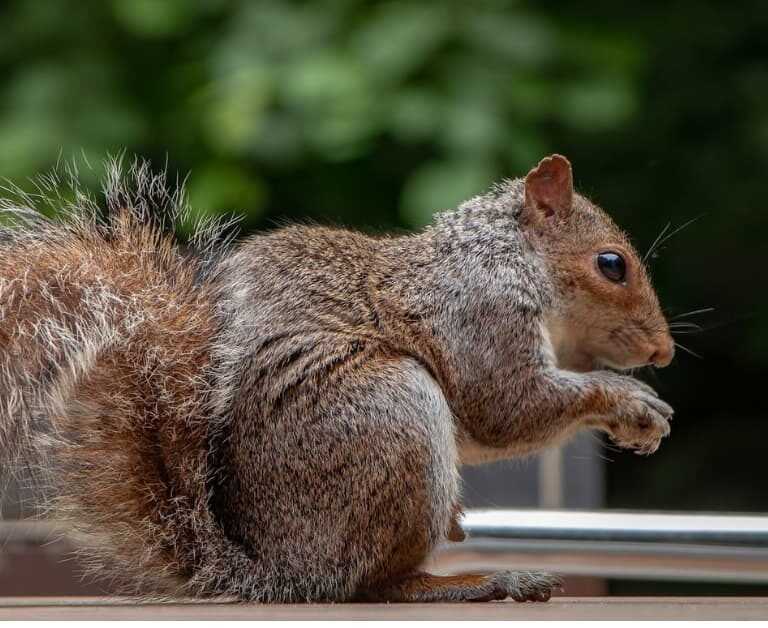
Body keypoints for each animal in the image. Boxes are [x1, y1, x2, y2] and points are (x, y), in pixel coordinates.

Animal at [0, 155, 672, 600]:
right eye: (611, 264)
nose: (663, 352)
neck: (504, 258)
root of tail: (284, 569)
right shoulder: (480, 314)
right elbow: (508, 408)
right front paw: (632, 402)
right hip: (391, 409)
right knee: (378, 583)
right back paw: (477, 580)